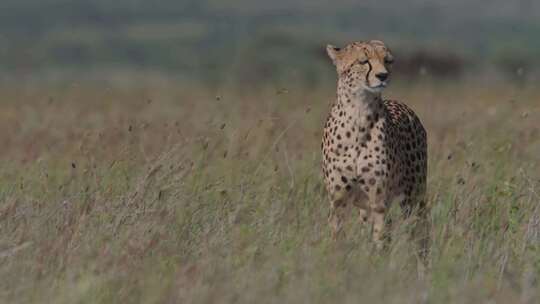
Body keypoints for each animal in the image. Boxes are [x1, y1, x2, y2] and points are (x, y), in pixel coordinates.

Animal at [320, 39, 430, 256]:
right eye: (364, 61)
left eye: (388, 61)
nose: (383, 76)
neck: (358, 112)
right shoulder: (338, 200)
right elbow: (337, 236)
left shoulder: (378, 199)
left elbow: (381, 237)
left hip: (413, 196)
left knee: (420, 231)